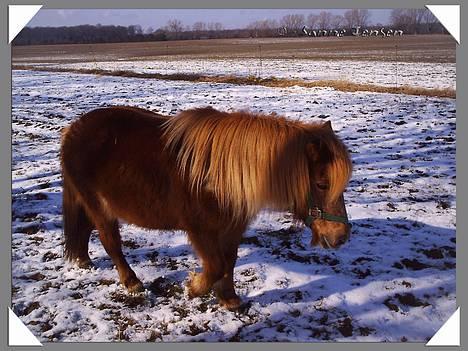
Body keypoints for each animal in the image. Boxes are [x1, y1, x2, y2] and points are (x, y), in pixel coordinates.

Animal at [60, 105, 352, 310]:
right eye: (322, 184)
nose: (340, 237)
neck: (222, 175)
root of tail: (73, 129)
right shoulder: (200, 230)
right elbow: (215, 266)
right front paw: (194, 288)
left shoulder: (232, 228)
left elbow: (229, 262)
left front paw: (229, 298)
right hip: (100, 207)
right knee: (111, 242)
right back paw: (132, 282)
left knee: (85, 228)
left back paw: (84, 259)